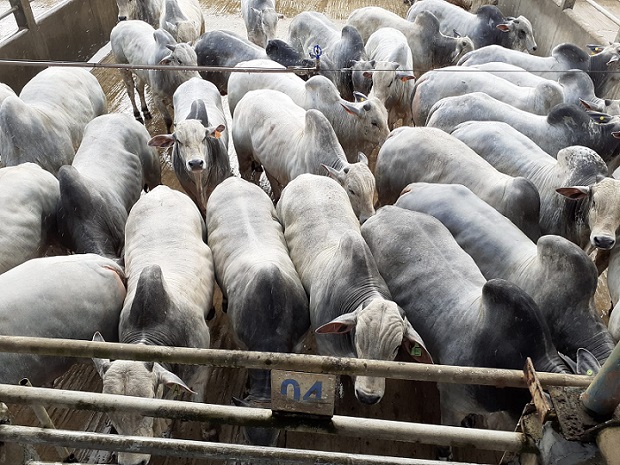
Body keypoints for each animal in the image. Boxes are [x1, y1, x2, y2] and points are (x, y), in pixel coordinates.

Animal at [235, 89, 376, 225]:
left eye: (372, 186)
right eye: (351, 190)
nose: (368, 217)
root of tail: (249, 95)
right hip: (243, 157)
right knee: (245, 173)